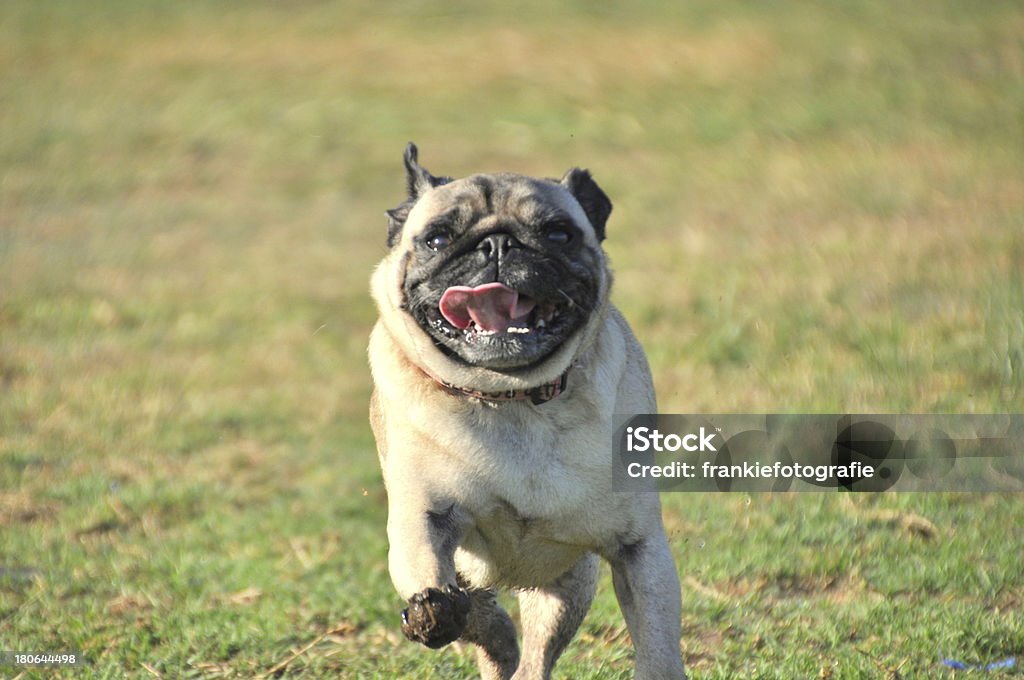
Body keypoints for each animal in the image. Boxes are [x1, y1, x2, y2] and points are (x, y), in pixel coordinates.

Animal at [370, 143, 688, 680]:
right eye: (437, 239)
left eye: (559, 233)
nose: (498, 245)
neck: (511, 397)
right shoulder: (423, 515)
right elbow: (437, 583)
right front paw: (438, 613)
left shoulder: (639, 549)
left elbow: (657, 643)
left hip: (566, 589)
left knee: (534, 658)